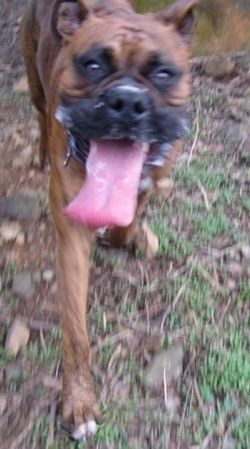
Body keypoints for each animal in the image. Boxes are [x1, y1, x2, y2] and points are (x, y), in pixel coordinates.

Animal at [20, 0, 198, 440]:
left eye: (163, 74)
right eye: (93, 65)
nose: (127, 100)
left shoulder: (152, 178)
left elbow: (127, 220)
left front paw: (128, 235)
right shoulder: (71, 239)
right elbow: (76, 334)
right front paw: (79, 402)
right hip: (34, 86)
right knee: (39, 113)